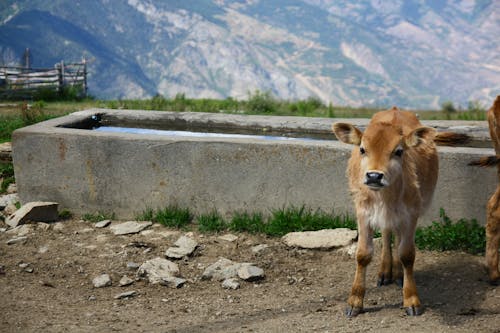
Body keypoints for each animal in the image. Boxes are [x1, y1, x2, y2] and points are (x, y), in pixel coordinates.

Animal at [332, 106, 468, 316]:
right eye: (362, 149)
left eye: (398, 151)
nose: (374, 176)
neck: (384, 198)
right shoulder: (363, 212)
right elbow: (363, 254)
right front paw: (355, 301)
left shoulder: (411, 214)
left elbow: (407, 254)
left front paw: (411, 298)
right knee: (387, 233)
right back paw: (385, 271)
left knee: (396, 237)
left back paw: (396, 273)